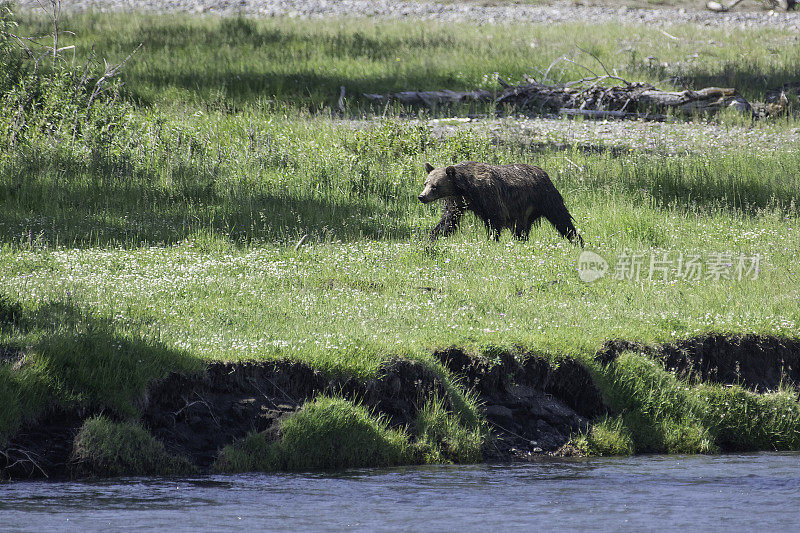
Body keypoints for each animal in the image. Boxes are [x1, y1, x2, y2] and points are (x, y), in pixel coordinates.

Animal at [418, 160, 580, 245]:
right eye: (426, 183)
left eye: (435, 186)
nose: (421, 196)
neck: (464, 188)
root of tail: (543, 172)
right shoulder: (457, 202)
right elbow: (448, 221)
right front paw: (430, 236)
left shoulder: (488, 196)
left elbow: (494, 219)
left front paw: (491, 240)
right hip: (523, 212)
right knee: (521, 230)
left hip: (545, 197)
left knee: (561, 218)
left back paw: (577, 240)